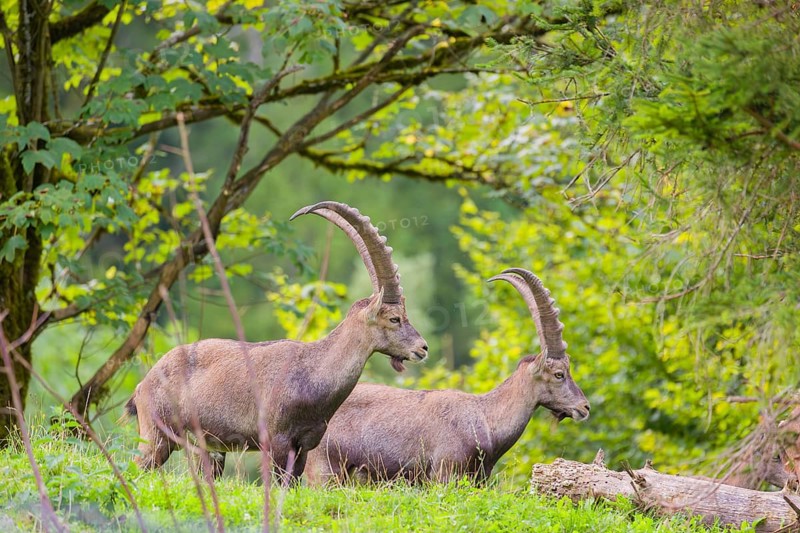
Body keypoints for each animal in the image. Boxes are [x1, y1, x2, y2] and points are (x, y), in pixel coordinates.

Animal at [124, 201, 428, 481]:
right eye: (394, 318)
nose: (422, 348)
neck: (313, 371)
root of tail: (143, 384)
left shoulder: (304, 445)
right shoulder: (277, 440)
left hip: (208, 449)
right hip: (156, 437)